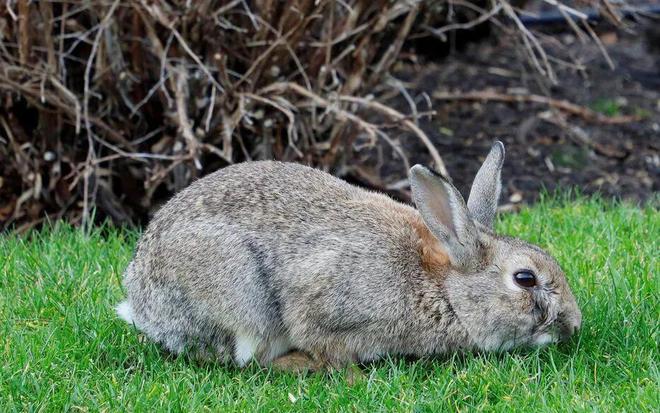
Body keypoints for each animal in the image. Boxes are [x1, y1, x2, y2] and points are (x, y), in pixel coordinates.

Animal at [116, 142, 580, 370]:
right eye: (525, 278)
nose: (574, 325)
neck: (443, 288)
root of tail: (141, 303)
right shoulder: (323, 307)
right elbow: (323, 345)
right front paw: (351, 375)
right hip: (243, 298)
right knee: (248, 356)